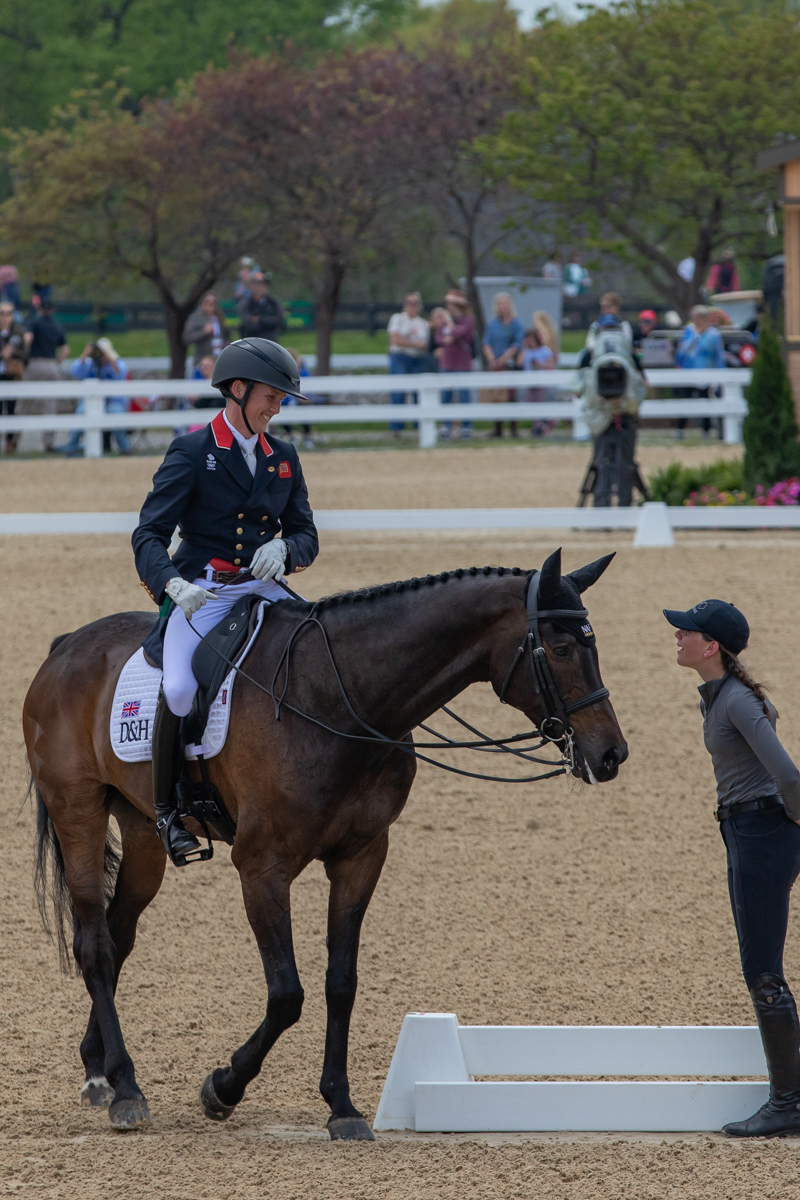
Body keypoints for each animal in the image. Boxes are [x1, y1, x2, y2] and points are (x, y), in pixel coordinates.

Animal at [23, 549, 623, 1137]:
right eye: (562, 648)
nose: (612, 754)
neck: (339, 697)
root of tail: (66, 646)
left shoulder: (361, 856)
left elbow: (341, 981)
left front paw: (342, 1106)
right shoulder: (262, 866)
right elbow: (288, 993)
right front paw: (222, 1088)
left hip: (143, 828)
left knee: (119, 933)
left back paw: (98, 1070)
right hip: (78, 811)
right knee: (95, 945)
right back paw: (126, 1090)